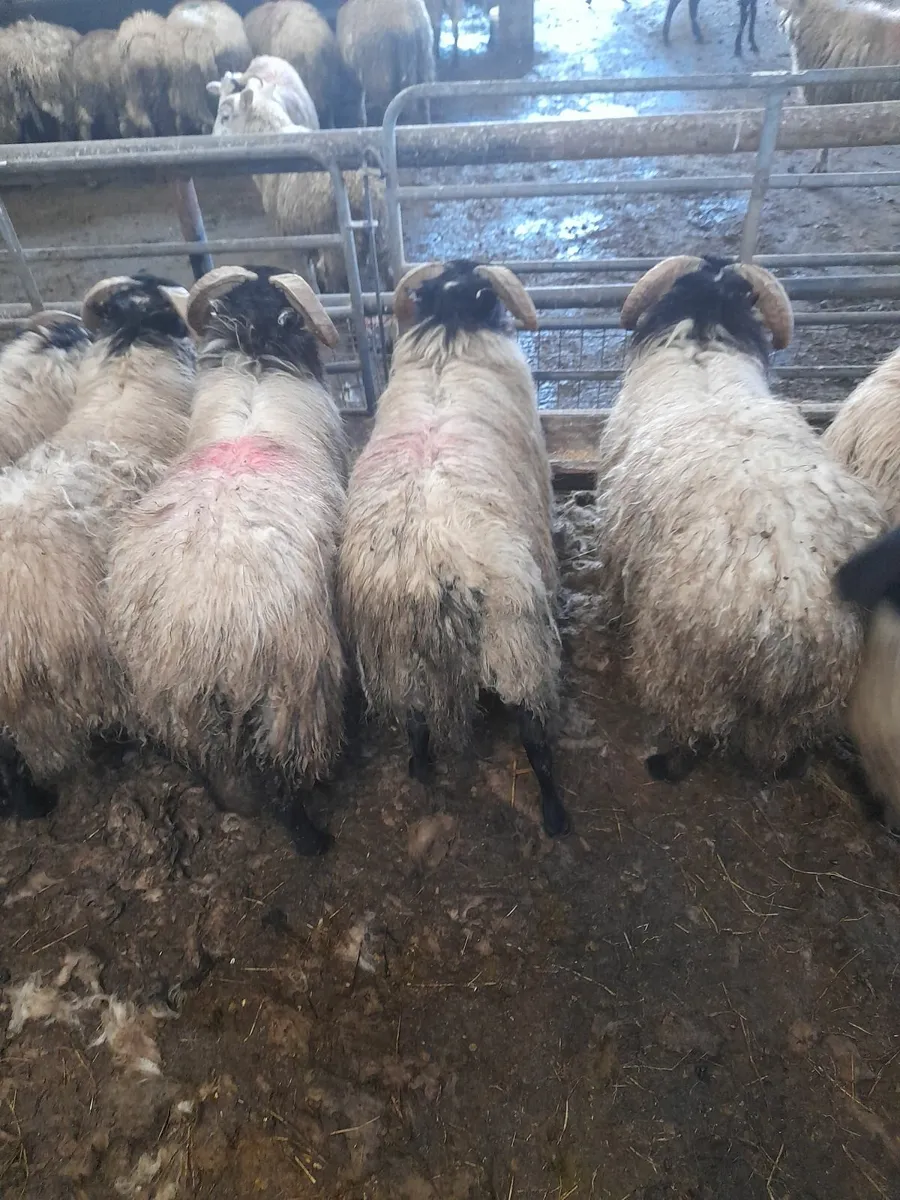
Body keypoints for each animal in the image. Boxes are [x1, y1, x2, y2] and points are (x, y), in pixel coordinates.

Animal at [106, 266, 347, 856]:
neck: (257, 364)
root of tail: (203, 634)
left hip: (172, 704)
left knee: (206, 764)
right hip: (293, 694)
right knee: (287, 783)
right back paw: (313, 837)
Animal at [211, 78, 387, 293]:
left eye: (225, 117)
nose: (210, 138)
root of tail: (360, 190)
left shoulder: (294, 236)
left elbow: (307, 272)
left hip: (336, 246)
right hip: (383, 238)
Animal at [338, 259, 570, 838]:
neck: (449, 329)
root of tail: (433, 570)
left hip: (396, 652)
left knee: (416, 721)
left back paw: (420, 769)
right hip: (516, 639)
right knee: (533, 735)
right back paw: (555, 815)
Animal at [599, 254, 886, 783]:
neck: (702, 348)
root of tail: (795, 606)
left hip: (683, 665)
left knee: (692, 727)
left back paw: (665, 761)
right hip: (817, 692)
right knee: (783, 751)